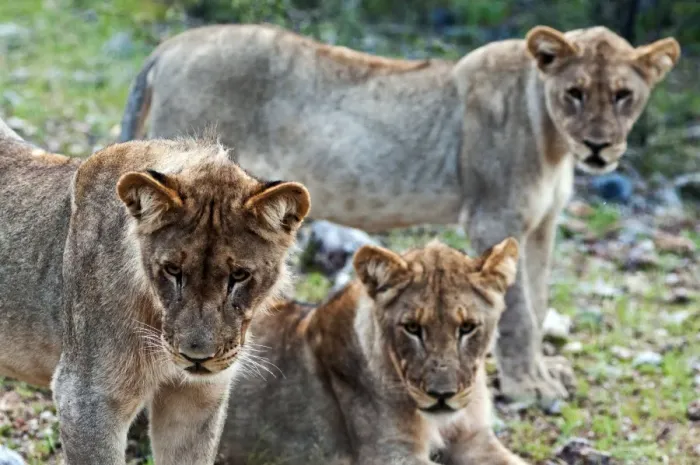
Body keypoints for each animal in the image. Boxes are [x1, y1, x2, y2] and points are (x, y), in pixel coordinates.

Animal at [119, 24, 680, 404]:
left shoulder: (541, 227)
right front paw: (527, 387)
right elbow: (519, 312)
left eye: (624, 95)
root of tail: (171, 46)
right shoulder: (495, 217)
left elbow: (539, 304)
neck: (551, 136)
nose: (599, 147)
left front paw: (543, 374)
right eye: (575, 93)